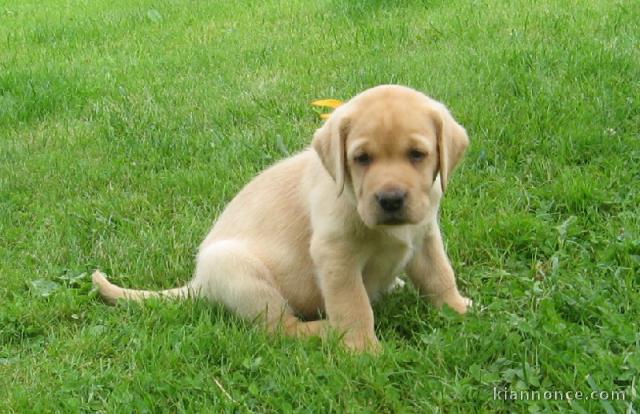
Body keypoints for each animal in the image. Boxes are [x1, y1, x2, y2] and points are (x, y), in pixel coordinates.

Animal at [94, 85, 470, 352]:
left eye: (417, 155)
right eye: (362, 158)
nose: (390, 200)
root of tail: (198, 282)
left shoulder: (426, 236)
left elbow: (440, 275)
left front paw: (459, 309)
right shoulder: (336, 256)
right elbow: (353, 305)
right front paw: (363, 350)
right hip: (241, 272)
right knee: (279, 329)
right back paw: (324, 330)